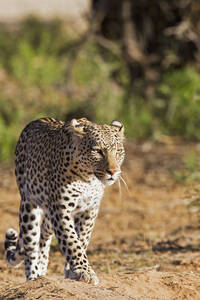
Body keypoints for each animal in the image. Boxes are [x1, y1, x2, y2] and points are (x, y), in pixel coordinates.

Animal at [4, 116, 125, 284]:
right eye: (98, 151)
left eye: (118, 151)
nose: (113, 172)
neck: (89, 179)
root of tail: (35, 121)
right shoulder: (61, 209)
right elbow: (71, 241)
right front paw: (84, 271)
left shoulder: (89, 210)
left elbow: (81, 240)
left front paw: (72, 271)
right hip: (29, 206)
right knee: (31, 243)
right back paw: (34, 276)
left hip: (49, 215)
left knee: (44, 234)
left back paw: (42, 268)